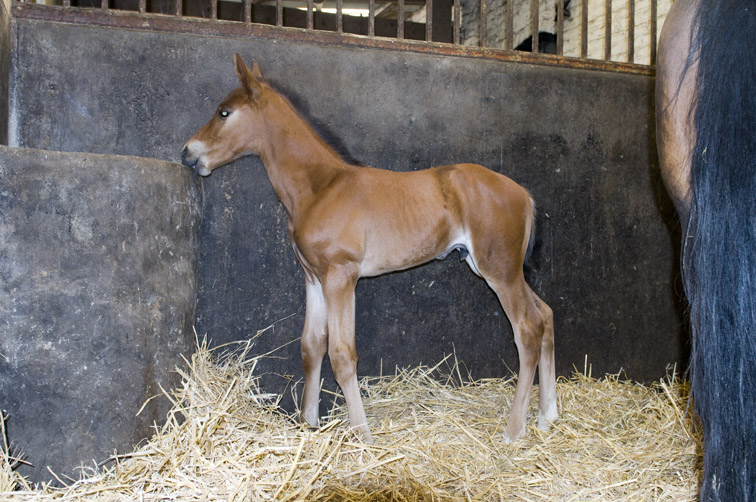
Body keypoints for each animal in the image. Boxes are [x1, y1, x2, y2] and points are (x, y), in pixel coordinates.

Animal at [182, 54, 556, 444]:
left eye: (224, 112)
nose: (188, 153)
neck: (320, 187)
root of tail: (522, 193)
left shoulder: (340, 276)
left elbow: (342, 355)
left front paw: (363, 436)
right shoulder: (313, 278)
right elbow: (311, 346)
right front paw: (308, 422)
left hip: (499, 270)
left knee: (528, 328)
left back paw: (514, 431)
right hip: (499, 268)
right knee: (546, 315)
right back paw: (546, 416)